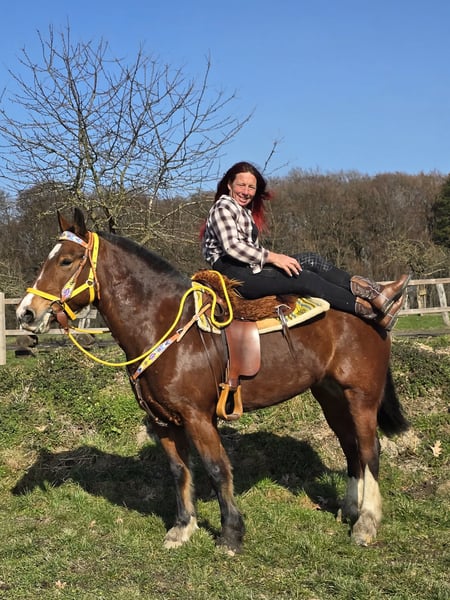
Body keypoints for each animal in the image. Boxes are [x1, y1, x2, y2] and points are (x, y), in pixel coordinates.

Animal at [16, 208, 408, 553]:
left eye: (66, 261)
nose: (26, 313)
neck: (165, 325)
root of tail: (372, 315)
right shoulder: (163, 421)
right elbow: (179, 471)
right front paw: (182, 528)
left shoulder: (198, 417)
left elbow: (217, 470)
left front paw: (231, 535)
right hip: (330, 396)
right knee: (351, 449)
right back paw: (350, 510)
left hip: (361, 395)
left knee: (370, 450)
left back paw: (366, 524)